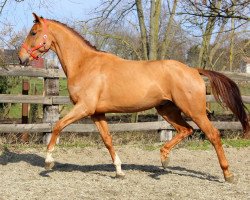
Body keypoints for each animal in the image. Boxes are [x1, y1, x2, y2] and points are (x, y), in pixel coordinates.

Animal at [18, 13, 249, 183]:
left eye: (33, 32)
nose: (21, 58)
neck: (85, 64)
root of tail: (193, 70)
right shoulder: (97, 113)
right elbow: (108, 140)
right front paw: (119, 171)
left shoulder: (84, 108)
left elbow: (57, 126)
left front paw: (48, 161)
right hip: (167, 109)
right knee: (186, 130)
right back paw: (163, 160)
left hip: (195, 110)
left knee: (213, 134)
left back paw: (228, 175)